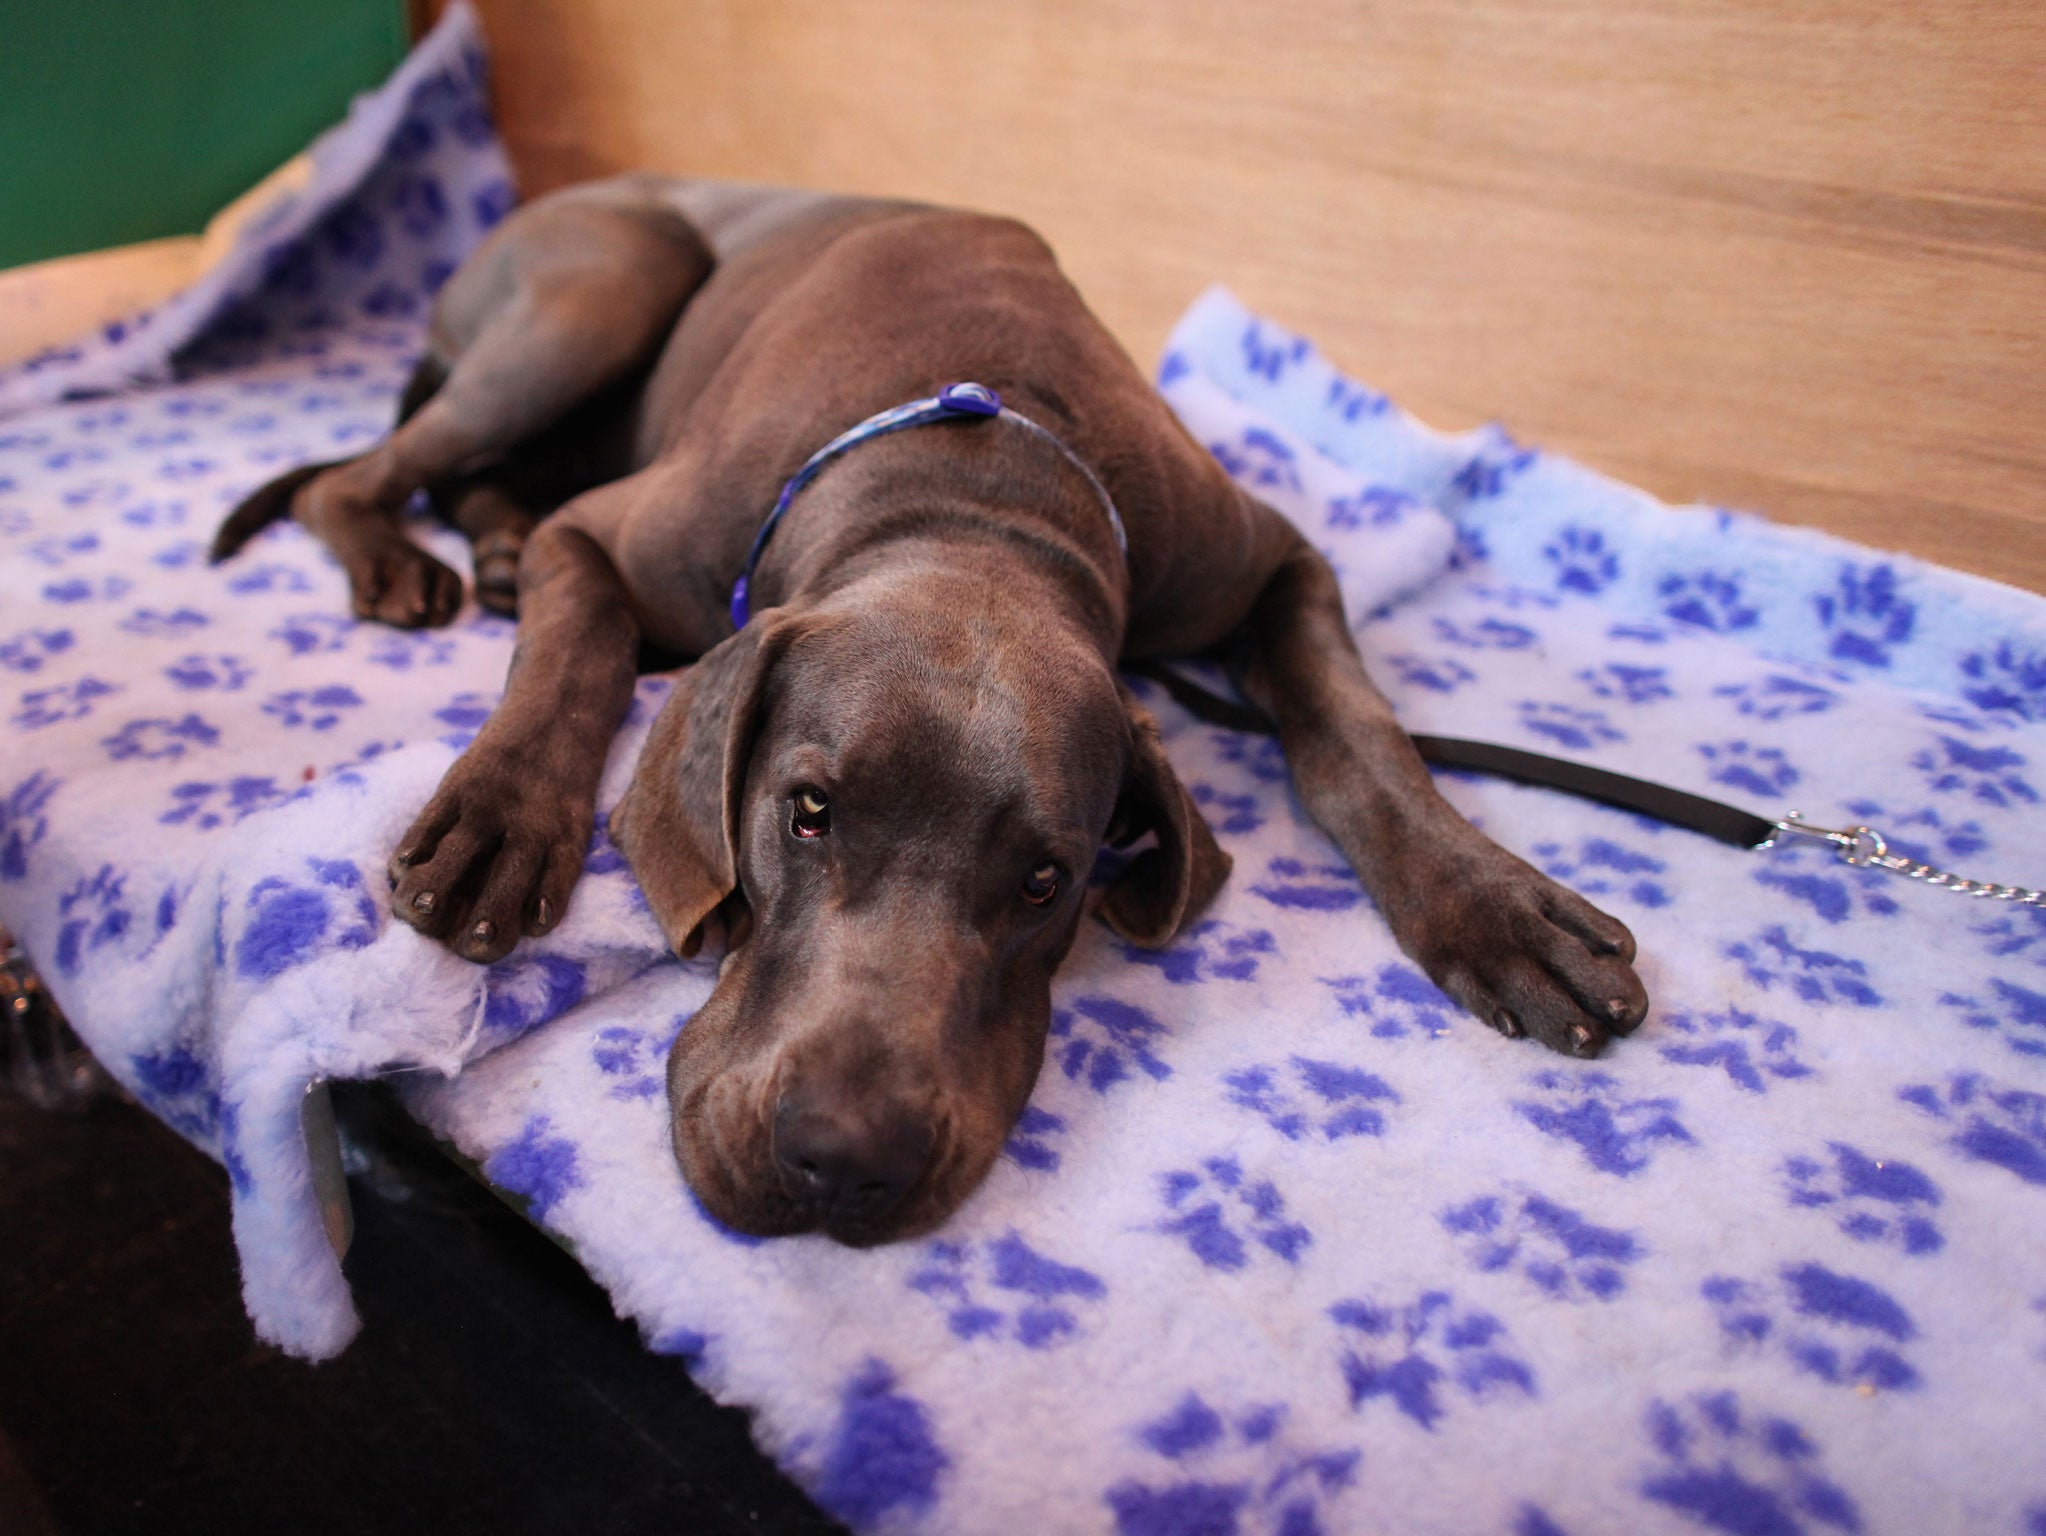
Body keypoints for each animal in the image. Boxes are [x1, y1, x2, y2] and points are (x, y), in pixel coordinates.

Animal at [211, 173, 1644, 1251]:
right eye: (805, 813)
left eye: (1047, 881)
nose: (842, 1159)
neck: (973, 500)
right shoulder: (610, 540)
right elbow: (572, 662)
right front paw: (500, 824)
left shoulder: (1274, 558)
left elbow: (1357, 733)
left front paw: (1496, 906)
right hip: (606, 277)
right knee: (362, 476)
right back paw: (416, 559)